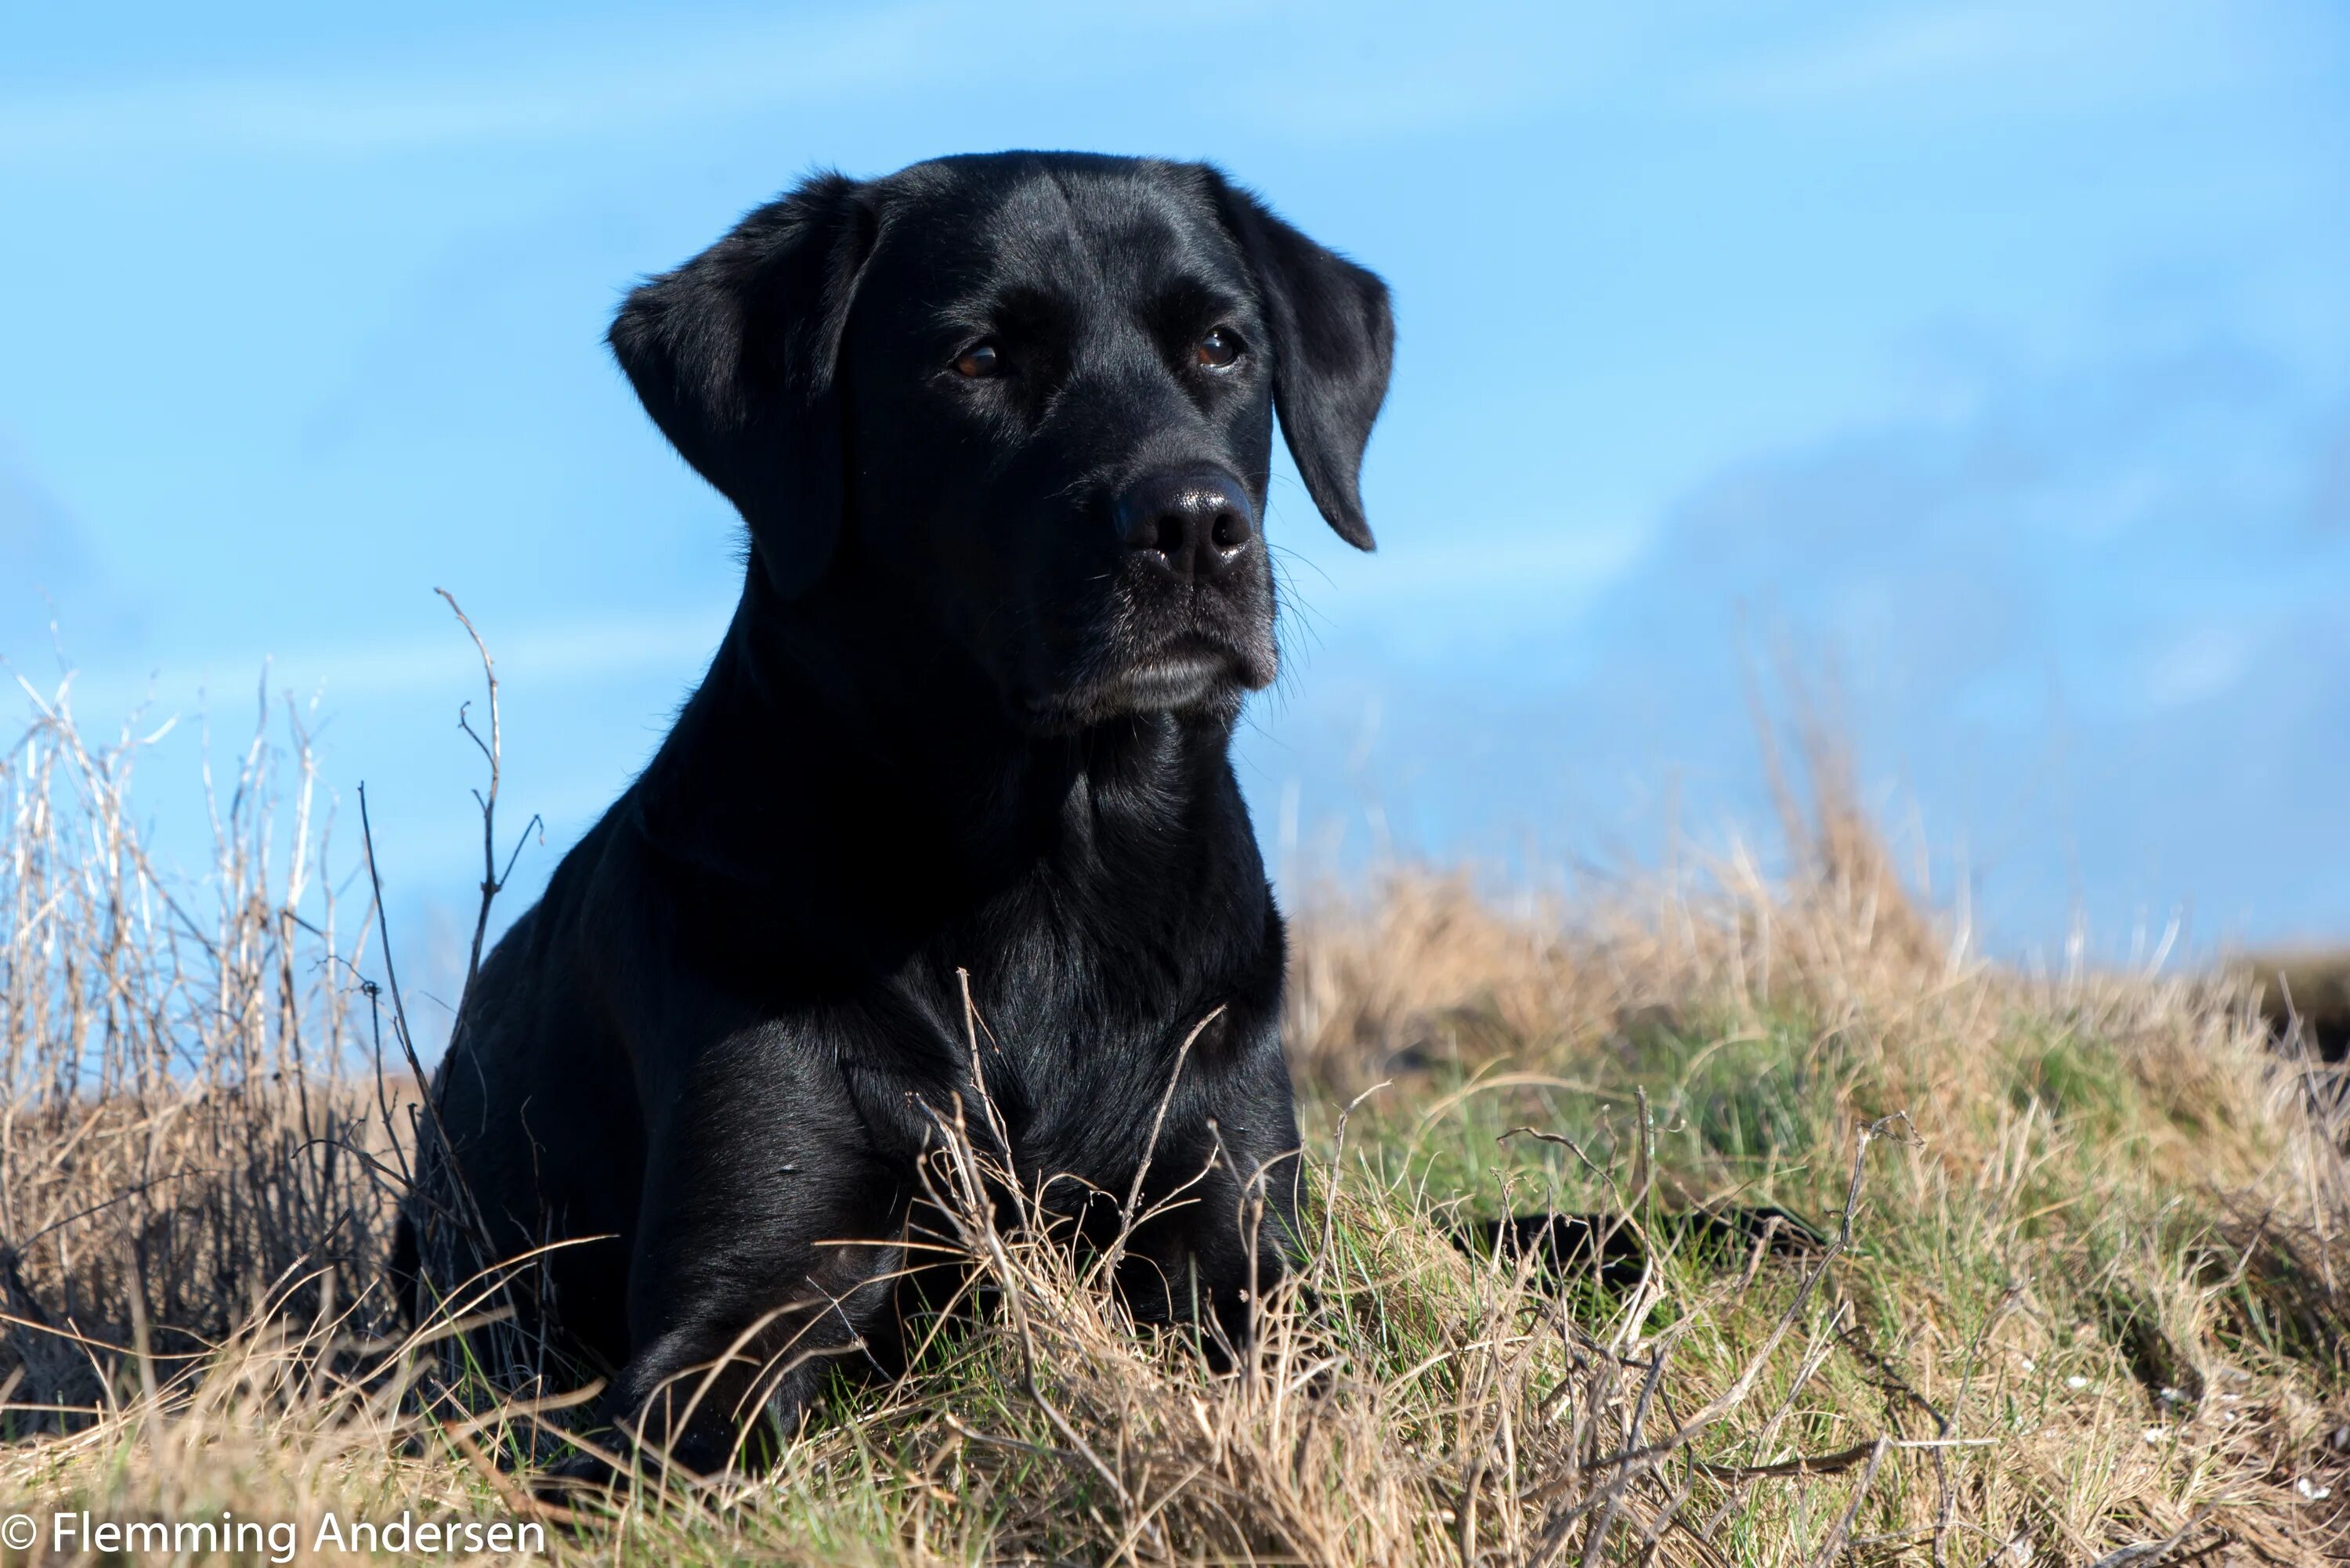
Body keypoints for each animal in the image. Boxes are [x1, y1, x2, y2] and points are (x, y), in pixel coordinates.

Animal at [392, 153, 1382, 1476]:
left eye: (1221, 344)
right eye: (978, 359)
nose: (1192, 523)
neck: (1048, 872)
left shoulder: (1235, 1246)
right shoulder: (741, 1302)